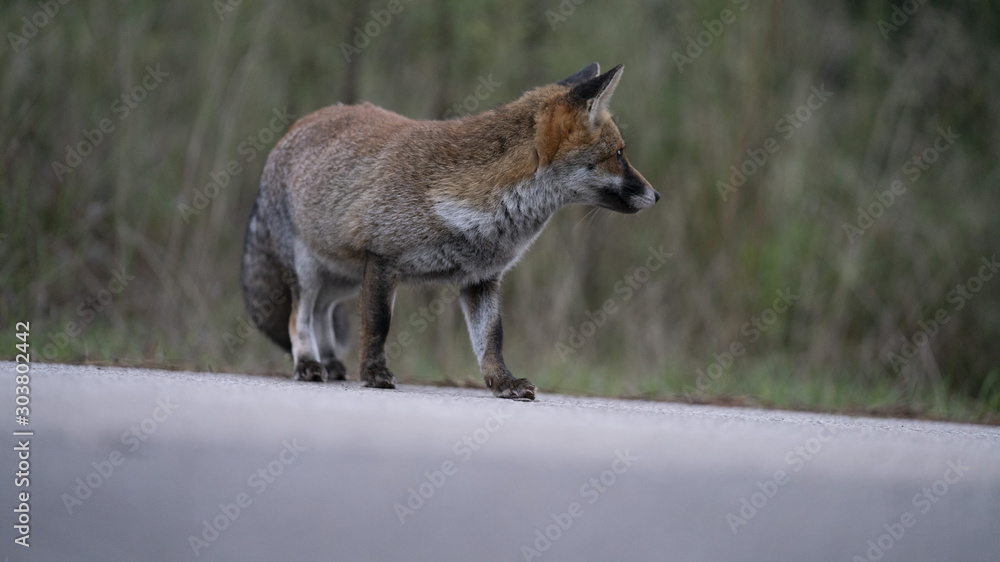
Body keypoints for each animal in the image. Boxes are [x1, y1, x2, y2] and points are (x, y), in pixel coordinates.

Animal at [241, 62, 659, 400]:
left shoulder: (481, 279)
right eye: (619, 154)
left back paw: (328, 362)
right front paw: (374, 373)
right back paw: (308, 363)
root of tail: (294, 127)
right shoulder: (382, 258)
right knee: (300, 318)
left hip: (342, 277)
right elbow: (377, 325)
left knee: (322, 312)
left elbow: (491, 340)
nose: (656, 195)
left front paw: (502, 383)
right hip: (310, 271)